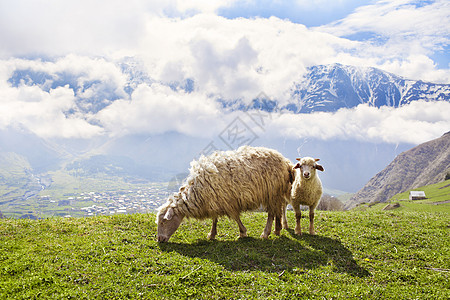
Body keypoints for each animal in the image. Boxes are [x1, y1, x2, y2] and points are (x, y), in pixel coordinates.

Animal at [156, 146, 296, 243]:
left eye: (163, 222)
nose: (160, 240)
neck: (196, 191)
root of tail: (285, 161)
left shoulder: (228, 201)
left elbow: (235, 217)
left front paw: (242, 232)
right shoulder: (214, 200)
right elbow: (214, 219)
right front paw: (212, 234)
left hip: (271, 192)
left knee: (271, 213)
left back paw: (266, 233)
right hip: (276, 194)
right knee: (278, 211)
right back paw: (277, 230)